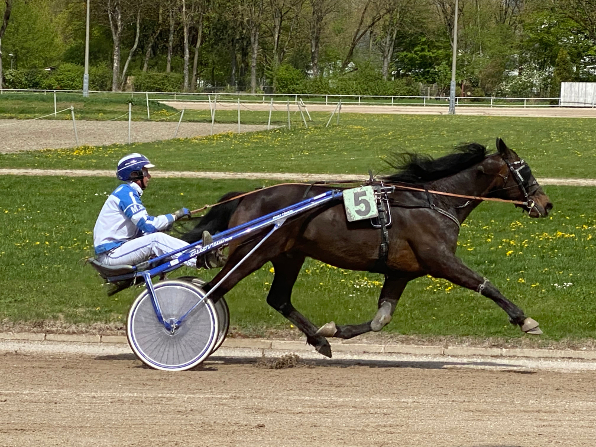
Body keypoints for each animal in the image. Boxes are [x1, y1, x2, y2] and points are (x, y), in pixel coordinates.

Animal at [180, 138, 556, 358]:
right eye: (524, 170)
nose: (546, 203)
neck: (433, 202)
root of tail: (247, 195)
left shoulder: (401, 272)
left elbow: (380, 319)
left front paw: (335, 330)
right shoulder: (440, 260)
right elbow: (486, 285)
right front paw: (525, 320)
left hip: (289, 255)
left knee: (278, 298)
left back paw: (320, 340)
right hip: (255, 252)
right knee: (214, 289)